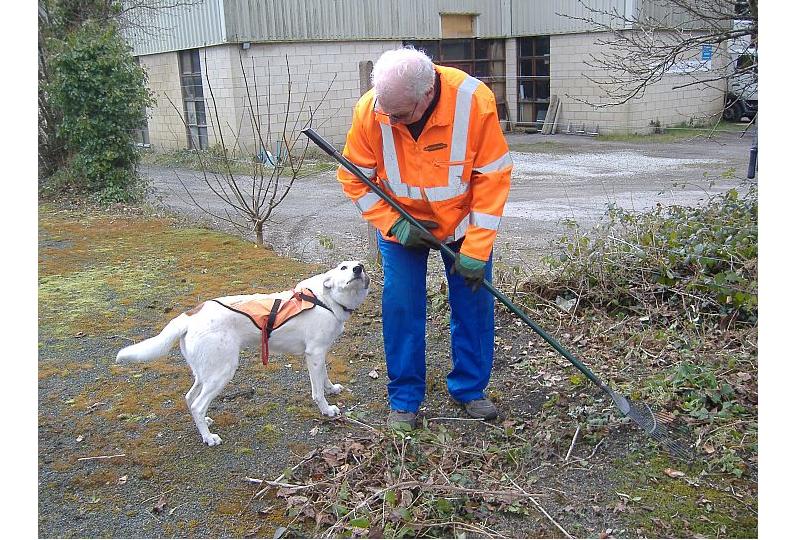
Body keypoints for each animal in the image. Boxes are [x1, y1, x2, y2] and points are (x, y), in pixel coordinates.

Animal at [116, 260, 372, 446]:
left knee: (190, 399)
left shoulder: (320, 354)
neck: (326, 300)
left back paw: (205, 422)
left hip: (206, 372)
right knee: (197, 403)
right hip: (222, 371)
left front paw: (332, 389)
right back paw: (208, 438)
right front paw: (327, 409)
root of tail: (190, 315)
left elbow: (325, 379)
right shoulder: (314, 354)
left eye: (360, 265)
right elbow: (317, 391)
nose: (359, 269)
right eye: (343, 267)